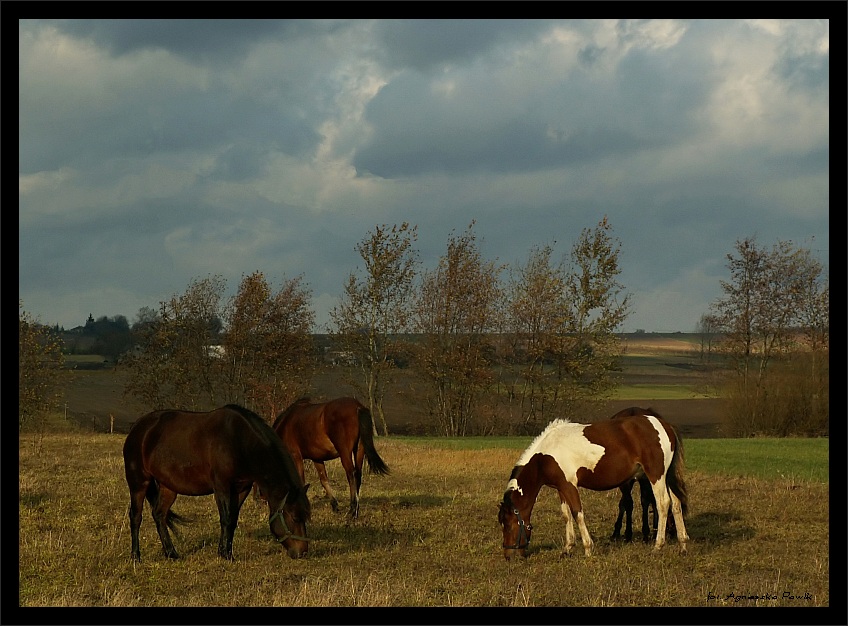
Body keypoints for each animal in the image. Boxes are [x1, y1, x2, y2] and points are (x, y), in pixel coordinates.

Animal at [122, 404, 312, 560]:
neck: (238, 440)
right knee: (136, 517)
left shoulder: (241, 488)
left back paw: (172, 553)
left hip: (168, 487)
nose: (302, 552)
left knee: (159, 515)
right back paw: (136, 556)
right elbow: (226, 518)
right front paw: (225, 555)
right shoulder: (222, 487)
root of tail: (138, 428)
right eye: (294, 517)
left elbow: (233, 519)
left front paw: (226, 551)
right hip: (138, 483)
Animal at [496, 412, 688, 560]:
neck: (544, 457)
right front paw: (567, 548)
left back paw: (658, 546)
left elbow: (577, 514)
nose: (508, 556)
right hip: (666, 477)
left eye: (509, 525)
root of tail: (665, 426)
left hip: (655, 476)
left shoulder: (570, 486)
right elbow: (566, 515)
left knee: (663, 504)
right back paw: (683, 545)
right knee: (676, 504)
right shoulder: (561, 488)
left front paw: (588, 549)